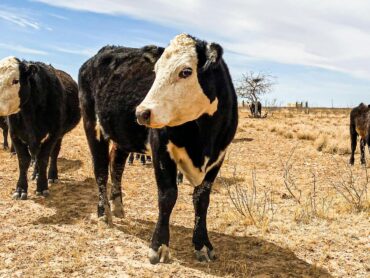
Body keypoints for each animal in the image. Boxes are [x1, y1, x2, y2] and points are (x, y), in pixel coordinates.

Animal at [0, 57, 80, 199]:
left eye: (15, 81)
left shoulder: (53, 134)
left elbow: (43, 159)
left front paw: (42, 187)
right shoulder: (14, 133)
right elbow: (23, 160)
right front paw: (21, 189)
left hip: (59, 135)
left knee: (53, 154)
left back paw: (52, 175)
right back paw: (35, 173)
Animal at [79, 33, 238, 264]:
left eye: (186, 71)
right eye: (156, 71)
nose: (141, 113)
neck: (204, 137)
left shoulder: (218, 157)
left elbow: (202, 200)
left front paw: (202, 244)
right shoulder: (161, 150)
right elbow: (167, 196)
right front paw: (159, 246)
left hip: (122, 137)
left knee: (116, 166)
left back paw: (117, 206)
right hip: (93, 125)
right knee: (100, 169)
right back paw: (104, 214)